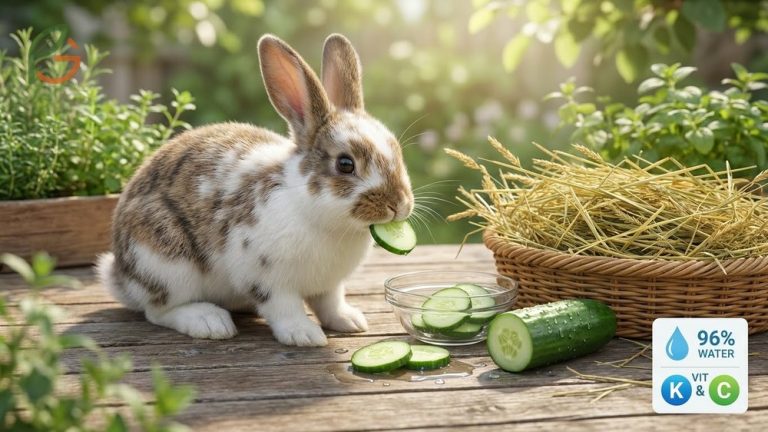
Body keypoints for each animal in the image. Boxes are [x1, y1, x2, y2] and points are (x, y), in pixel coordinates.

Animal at [96, 34, 414, 346]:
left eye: (397, 151)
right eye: (345, 164)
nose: (400, 204)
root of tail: (120, 276)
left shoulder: (329, 285)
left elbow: (329, 303)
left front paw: (350, 321)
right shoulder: (267, 278)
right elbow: (284, 307)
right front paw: (305, 335)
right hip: (165, 262)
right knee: (158, 310)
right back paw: (209, 322)